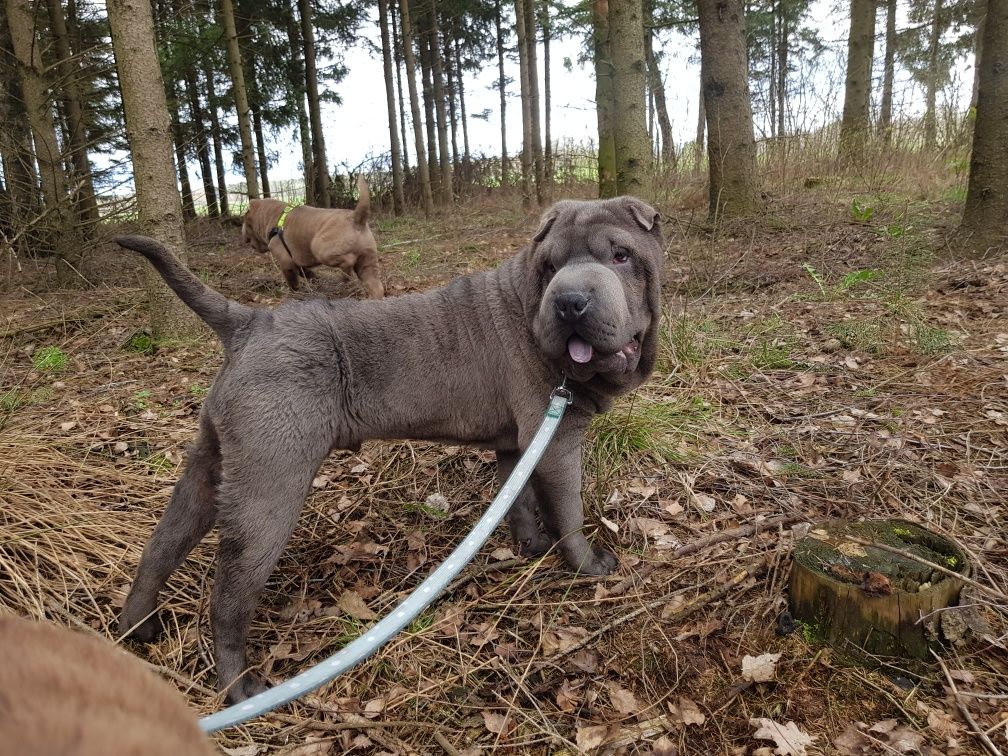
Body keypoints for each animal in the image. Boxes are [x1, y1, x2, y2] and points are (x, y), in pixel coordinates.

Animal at [240, 175, 385, 298]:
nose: (243, 236)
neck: (271, 216)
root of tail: (356, 218)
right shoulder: (293, 259)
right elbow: (301, 270)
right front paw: (311, 275)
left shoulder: (285, 261)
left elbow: (292, 279)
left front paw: (294, 293)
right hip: (367, 260)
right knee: (375, 285)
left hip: (319, 247)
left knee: (348, 262)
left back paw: (343, 277)